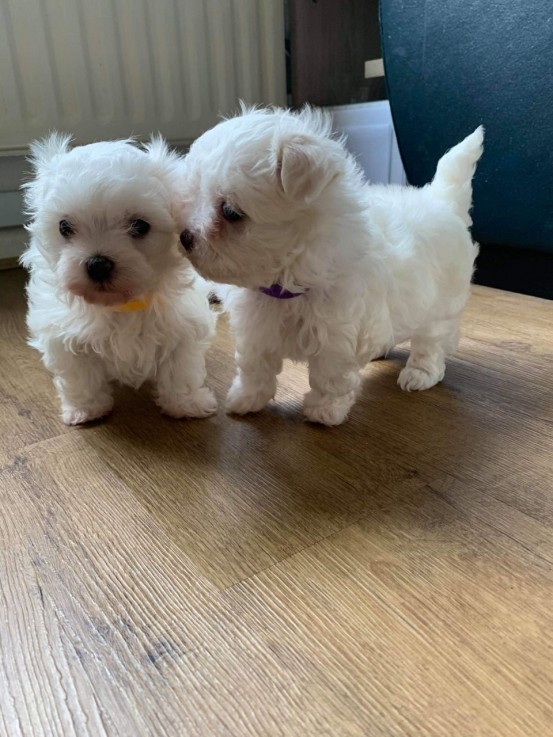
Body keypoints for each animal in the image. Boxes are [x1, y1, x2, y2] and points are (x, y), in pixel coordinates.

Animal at [21, 129, 217, 422]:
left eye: (140, 226)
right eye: (64, 227)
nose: (98, 264)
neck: (122, 304)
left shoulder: (183, 324)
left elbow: (180, 368)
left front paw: (186, 404)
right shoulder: (63, 332)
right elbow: (79, 374)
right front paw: (86, 408)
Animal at [178, 104, 484, 426]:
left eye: (231, 212)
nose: (185, 238)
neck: (287, 279)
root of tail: (442, 201)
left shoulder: (337, 335)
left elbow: (329, 376)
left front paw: (324, 411)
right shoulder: (256, 329)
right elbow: (254, 366)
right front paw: (246, 399)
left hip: (440, 306)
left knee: (431, 343)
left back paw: (419, 373)